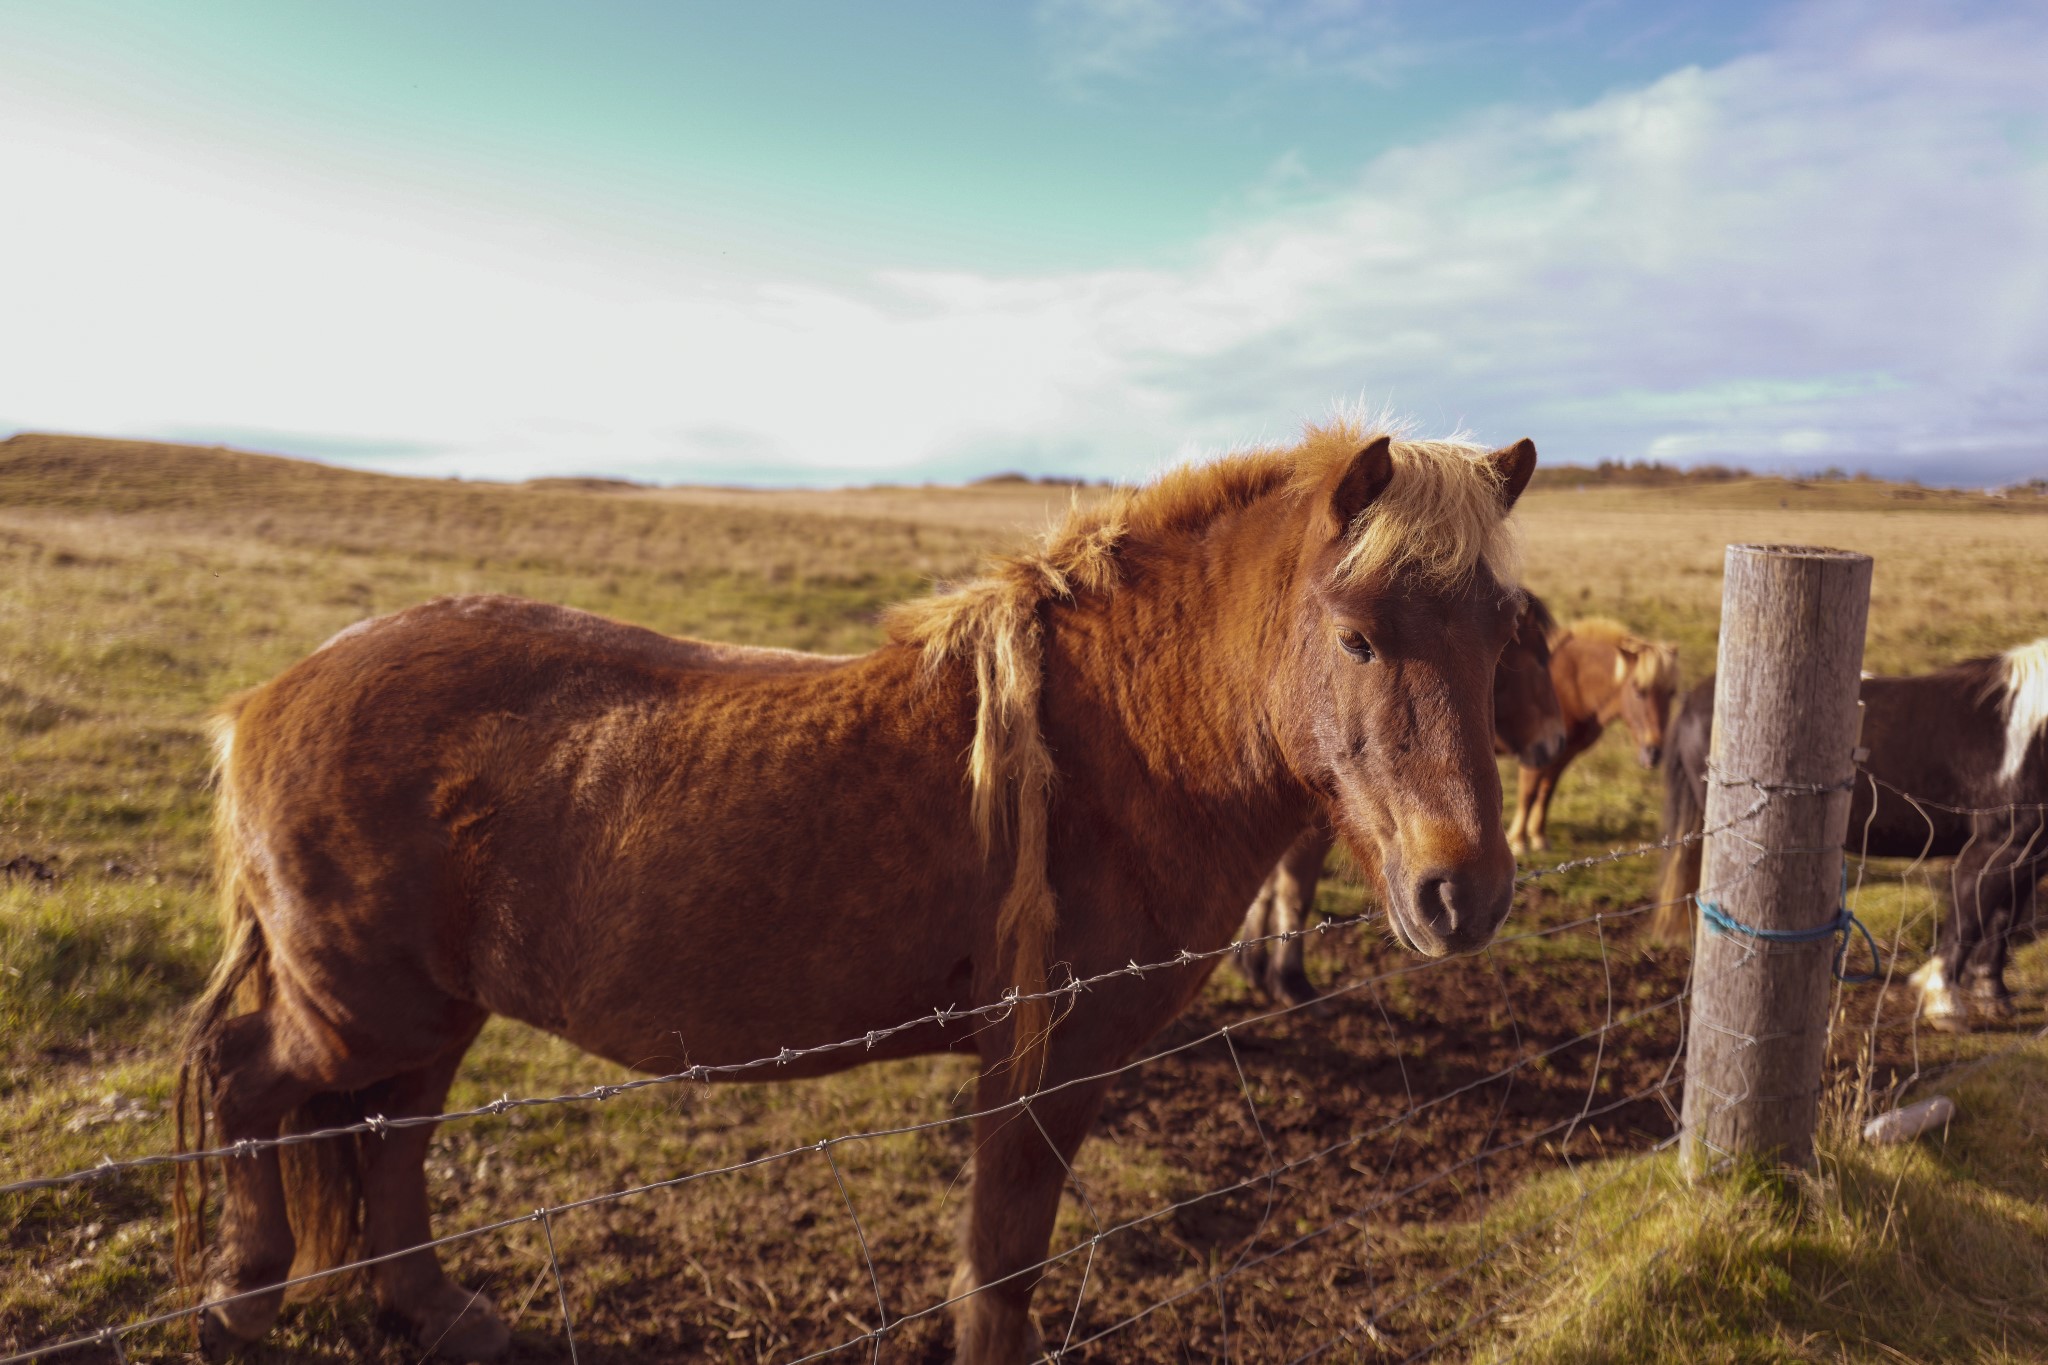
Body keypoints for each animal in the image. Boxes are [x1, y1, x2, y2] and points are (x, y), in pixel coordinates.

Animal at [1228, 593, 1564, 1010]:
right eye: (1538, 660)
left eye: (1503, 644)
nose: (1557, 741)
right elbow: (1293, 893)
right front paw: (1288, 978)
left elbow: (1268, 888)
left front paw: (1252, 965)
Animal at [1507, 618, 1679, 855]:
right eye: (1638, 690)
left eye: (1672, 693)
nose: (1654, 752)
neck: (1567, 685)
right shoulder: (1535, 753)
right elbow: (1529, 792)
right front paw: (1518, 841)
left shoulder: (1563, 755)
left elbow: (1546, 790)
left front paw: (1539, 837)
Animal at [1654, 638, 2048, 1023]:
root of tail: (1693, 700)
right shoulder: (1997, 846)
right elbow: (1969, 916)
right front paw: (1943, 1002)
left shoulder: (2030, 854)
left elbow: (2002, 922)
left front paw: (1993, 995)